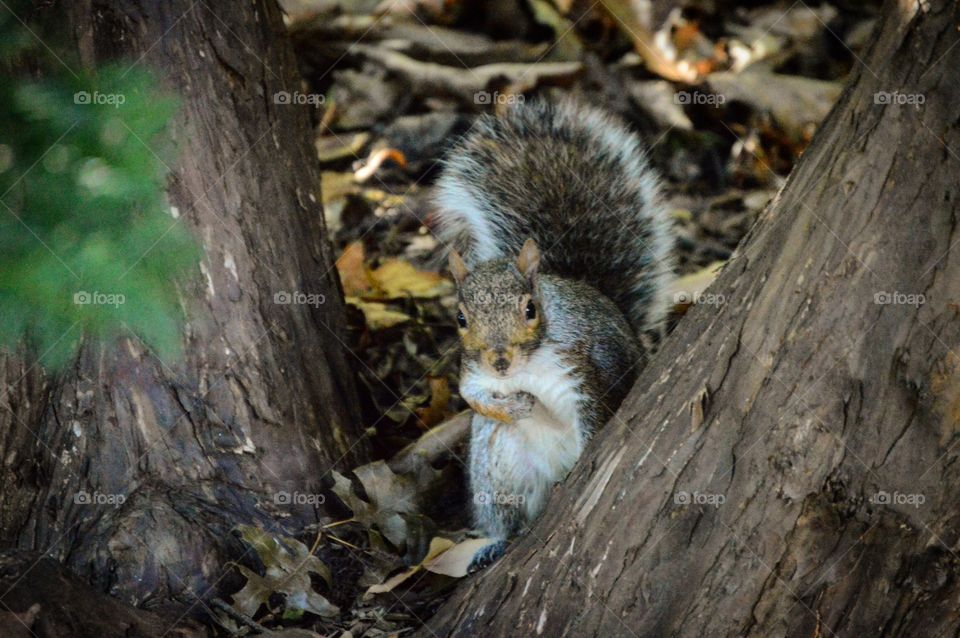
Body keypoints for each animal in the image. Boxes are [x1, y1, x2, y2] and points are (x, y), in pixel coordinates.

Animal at [432, 99, 675, 569]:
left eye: (530, 309)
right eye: (461, 319)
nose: (500, 362)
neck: (526, 366)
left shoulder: (584, 367)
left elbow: (595, 421)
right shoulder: (473, 372)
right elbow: (473, 397)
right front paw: (516, 406)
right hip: (498, 469)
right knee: (508, 514)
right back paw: (497, 542)